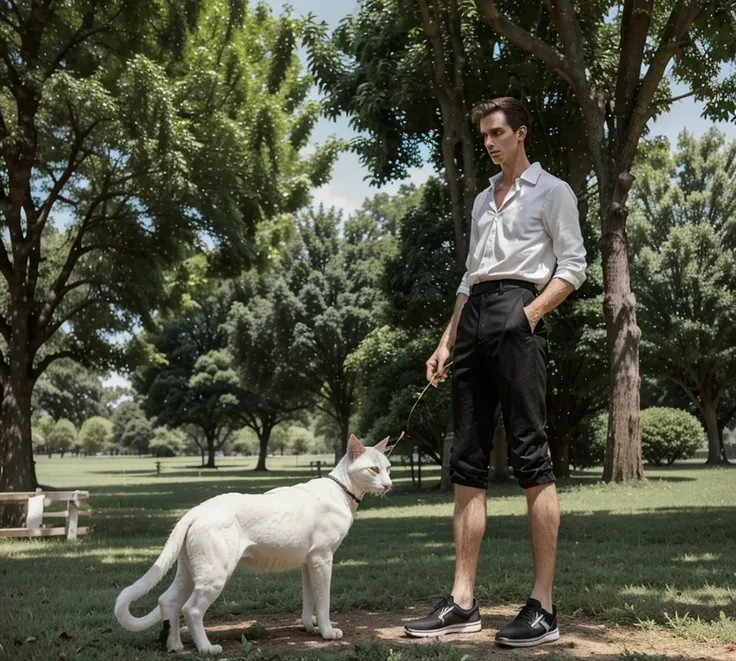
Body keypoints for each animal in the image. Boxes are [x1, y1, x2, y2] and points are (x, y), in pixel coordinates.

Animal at [113, 434, 392, 656]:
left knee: (168, 601)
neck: (342, 490)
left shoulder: (309, 562)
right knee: (191, 609)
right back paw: (206, 648)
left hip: (191, 572)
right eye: (373, 469)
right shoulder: (323, 559)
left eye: (388, 467)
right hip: (215, 574)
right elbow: (323, 601)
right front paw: (327, 632)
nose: (389, 484)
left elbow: (309, 599)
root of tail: (196, 510)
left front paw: (310, 628)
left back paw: (175, 646)